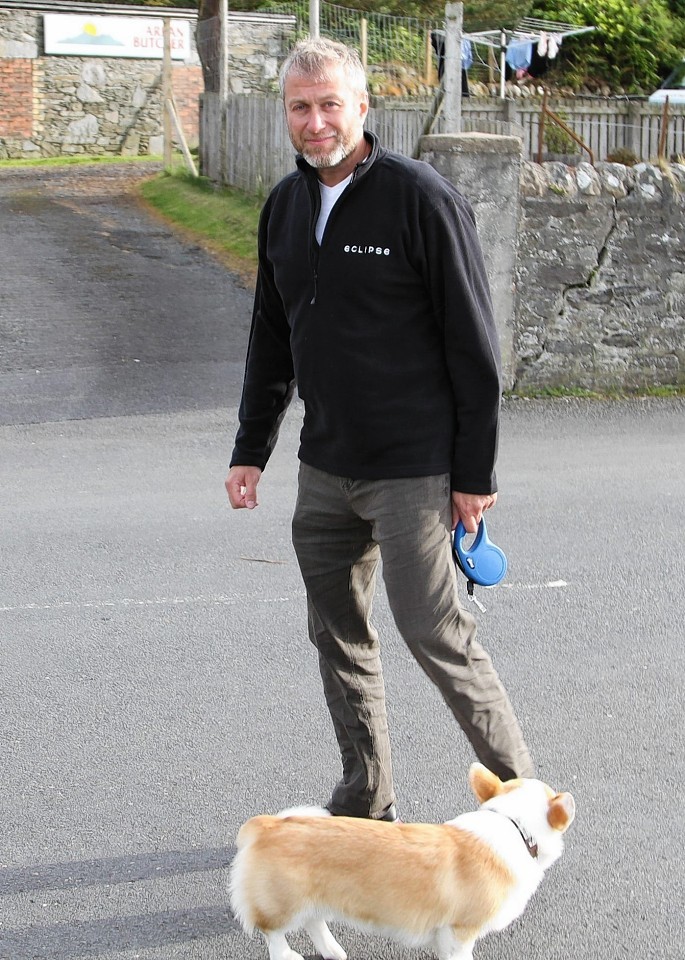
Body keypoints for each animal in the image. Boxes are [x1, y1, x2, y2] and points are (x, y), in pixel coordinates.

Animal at [231, 764, 576, 960]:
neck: (515, 825)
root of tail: (268, 825)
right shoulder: (461, 931)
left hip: (315, 896)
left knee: (314, 921)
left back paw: (333, 952)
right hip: (284, 903)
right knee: (273, 933)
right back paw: (288, 955)